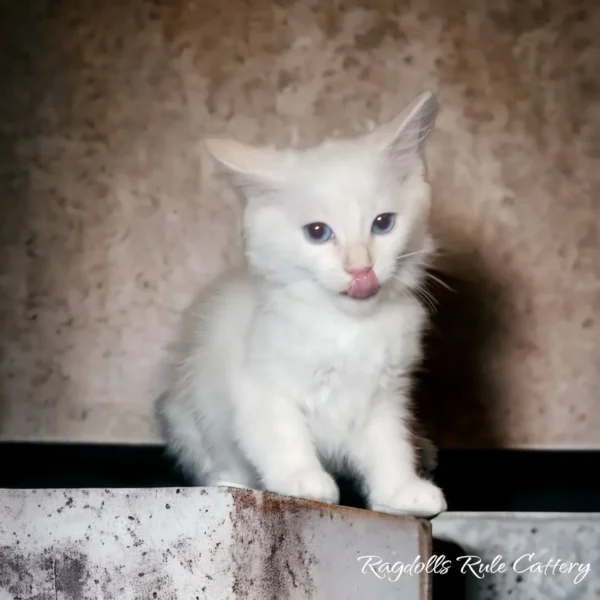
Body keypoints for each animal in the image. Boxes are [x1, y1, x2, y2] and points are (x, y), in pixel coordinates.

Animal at [157, 91, 448, 516]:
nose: (361, 269)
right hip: (186, 411)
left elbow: (389, 445)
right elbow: (282, 434)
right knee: (216, 456)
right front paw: (303, 480)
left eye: (383, 224)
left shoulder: (386, 397)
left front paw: (400, 491)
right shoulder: (260, 384)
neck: (348, 327)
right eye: (317, 233)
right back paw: (228, 480)